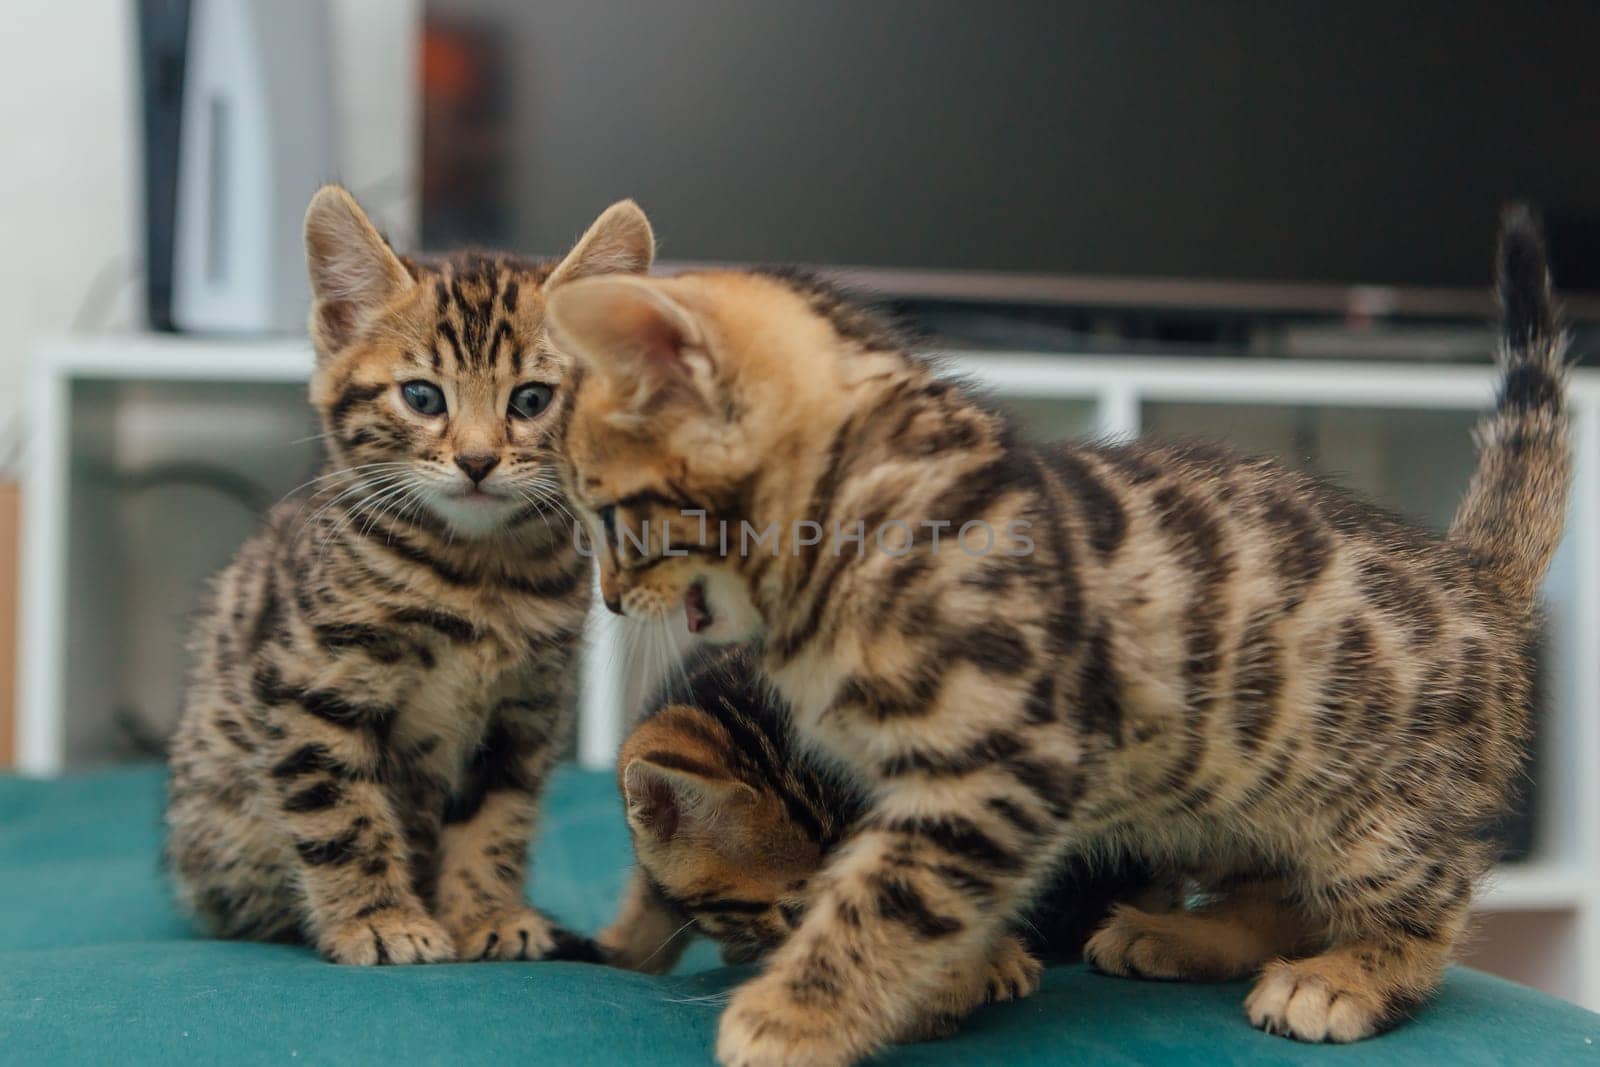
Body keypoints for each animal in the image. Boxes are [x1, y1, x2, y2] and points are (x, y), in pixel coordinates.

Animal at [164, 191, 656, 966]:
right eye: (423, 398)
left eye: (531, 400)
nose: (478, 461)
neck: (478, 576)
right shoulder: (312, 683)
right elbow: (342, 812)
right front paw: (379, 919)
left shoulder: (523, 711)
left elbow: (497, 819)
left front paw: (487, 911)